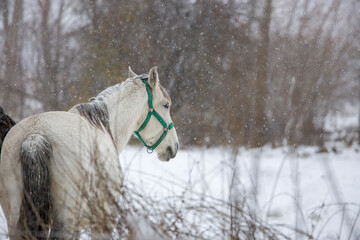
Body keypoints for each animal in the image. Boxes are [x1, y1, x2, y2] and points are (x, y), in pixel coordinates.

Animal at [0, 66, 179, 239]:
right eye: (166, 105)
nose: (175, 146)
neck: (104, 126)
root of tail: (34, 135)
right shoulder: (104, 220)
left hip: (15, 219)